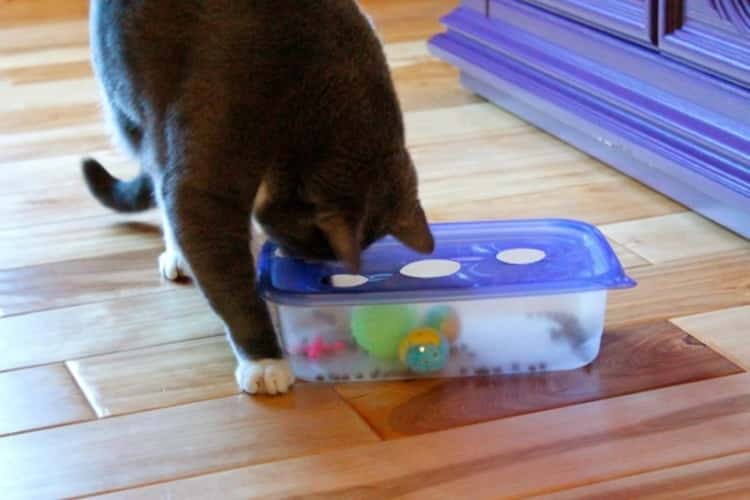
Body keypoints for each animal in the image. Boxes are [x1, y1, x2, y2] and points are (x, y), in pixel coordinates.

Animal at [82, 1, 434, 396]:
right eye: (313, 246)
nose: (315, 271)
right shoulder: (214, 155)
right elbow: (223, 268)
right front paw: (265, 361)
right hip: (129, 98)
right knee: (154, 167)